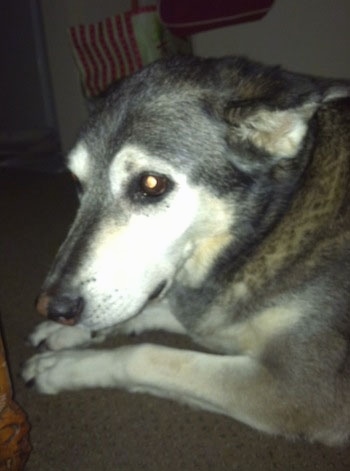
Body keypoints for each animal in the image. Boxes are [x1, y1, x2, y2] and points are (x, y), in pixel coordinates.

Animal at [22, 55, 350, 446]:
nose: (53, 308)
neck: (268, 228)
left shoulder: (297, 390)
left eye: (151, 184)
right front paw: (64, 335)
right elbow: (157, 309)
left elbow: (144, 355)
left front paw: (64, 366)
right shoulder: (211, 313)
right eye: (75, 181)